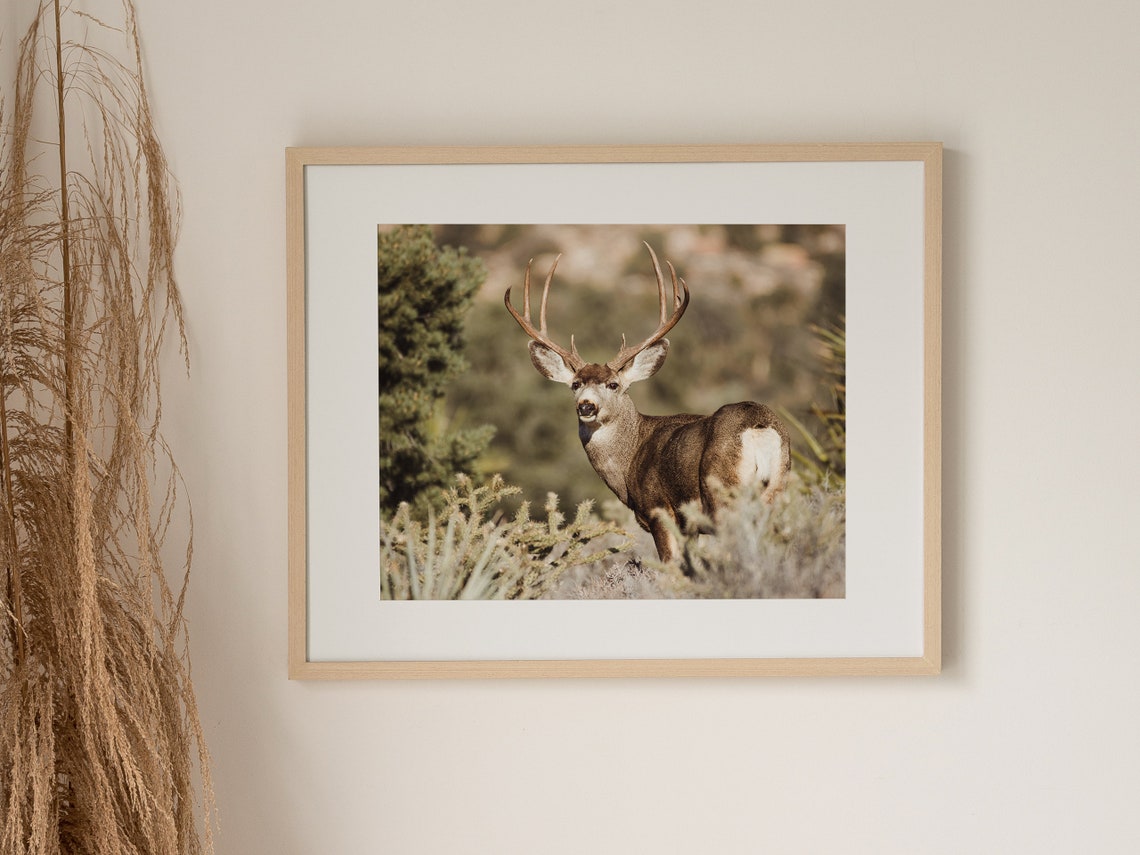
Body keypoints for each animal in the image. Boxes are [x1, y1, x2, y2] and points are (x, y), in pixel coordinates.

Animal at [504, 242, 791, 564]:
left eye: (613, 384)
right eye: (575, 385)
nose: (586, 406)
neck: (630, 455)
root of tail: (759, 428)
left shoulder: (658, 510)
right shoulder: (689, 526)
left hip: (723, 496)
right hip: (776, 491)